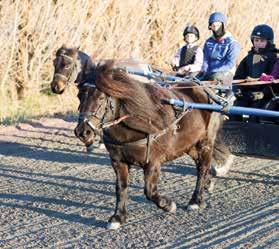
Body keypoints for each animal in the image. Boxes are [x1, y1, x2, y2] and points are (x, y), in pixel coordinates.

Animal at [76, 60, 223, 230]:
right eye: (79, 95)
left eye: (100, 97)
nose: (83, 132)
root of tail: (205, 89)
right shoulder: (118, 161)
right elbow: (121, 188)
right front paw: (118, 217)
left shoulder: (153, 161)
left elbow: (149, 191)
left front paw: (168, 205)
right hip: (189, 144)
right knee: (200, 165)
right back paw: (208, 182)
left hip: (205, 142)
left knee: (202, 167)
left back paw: (196, 200)